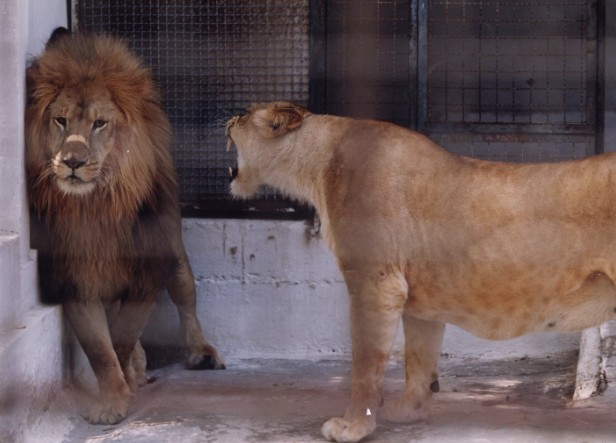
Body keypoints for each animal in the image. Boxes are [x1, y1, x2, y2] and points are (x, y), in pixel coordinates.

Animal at [26, 29, 225, 424]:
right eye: (61, 121)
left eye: (99, 123)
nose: (72, 162)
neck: (96, 207)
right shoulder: (74, 277)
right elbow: (101, 350)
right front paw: (111, 403)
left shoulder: (148, 273)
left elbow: (120, 337)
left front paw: (124, 387)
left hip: (175, 260)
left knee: (187, 303)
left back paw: (201, 353)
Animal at [226, 101, 616, 443]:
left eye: (244, 114)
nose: (227, 118)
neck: (317, 163)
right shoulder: (420, 298)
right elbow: (419, 358)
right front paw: (409, 412)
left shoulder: (375, 283)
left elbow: (365, 366)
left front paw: (352, 428)